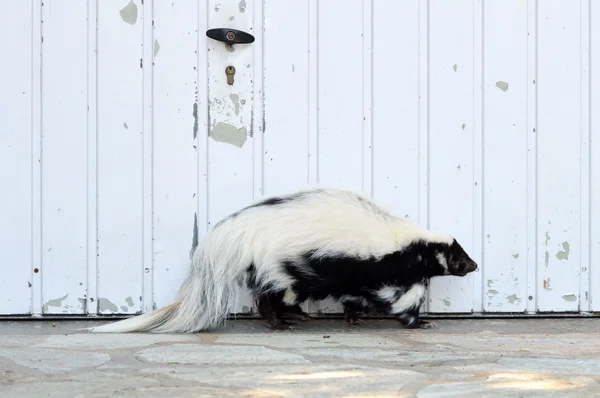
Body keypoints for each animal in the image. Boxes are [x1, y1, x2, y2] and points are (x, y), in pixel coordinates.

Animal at [86, 187, 478, 332]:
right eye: (459, 257)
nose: (474, 265)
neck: (414, 242)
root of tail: (246, 229)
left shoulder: (360, 270)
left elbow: (354, 295)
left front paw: (353, 316)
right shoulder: (389, 267)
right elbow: (401, 297)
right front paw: (416, 321)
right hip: (287, 264)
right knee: (272, 295)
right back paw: (284, 320)